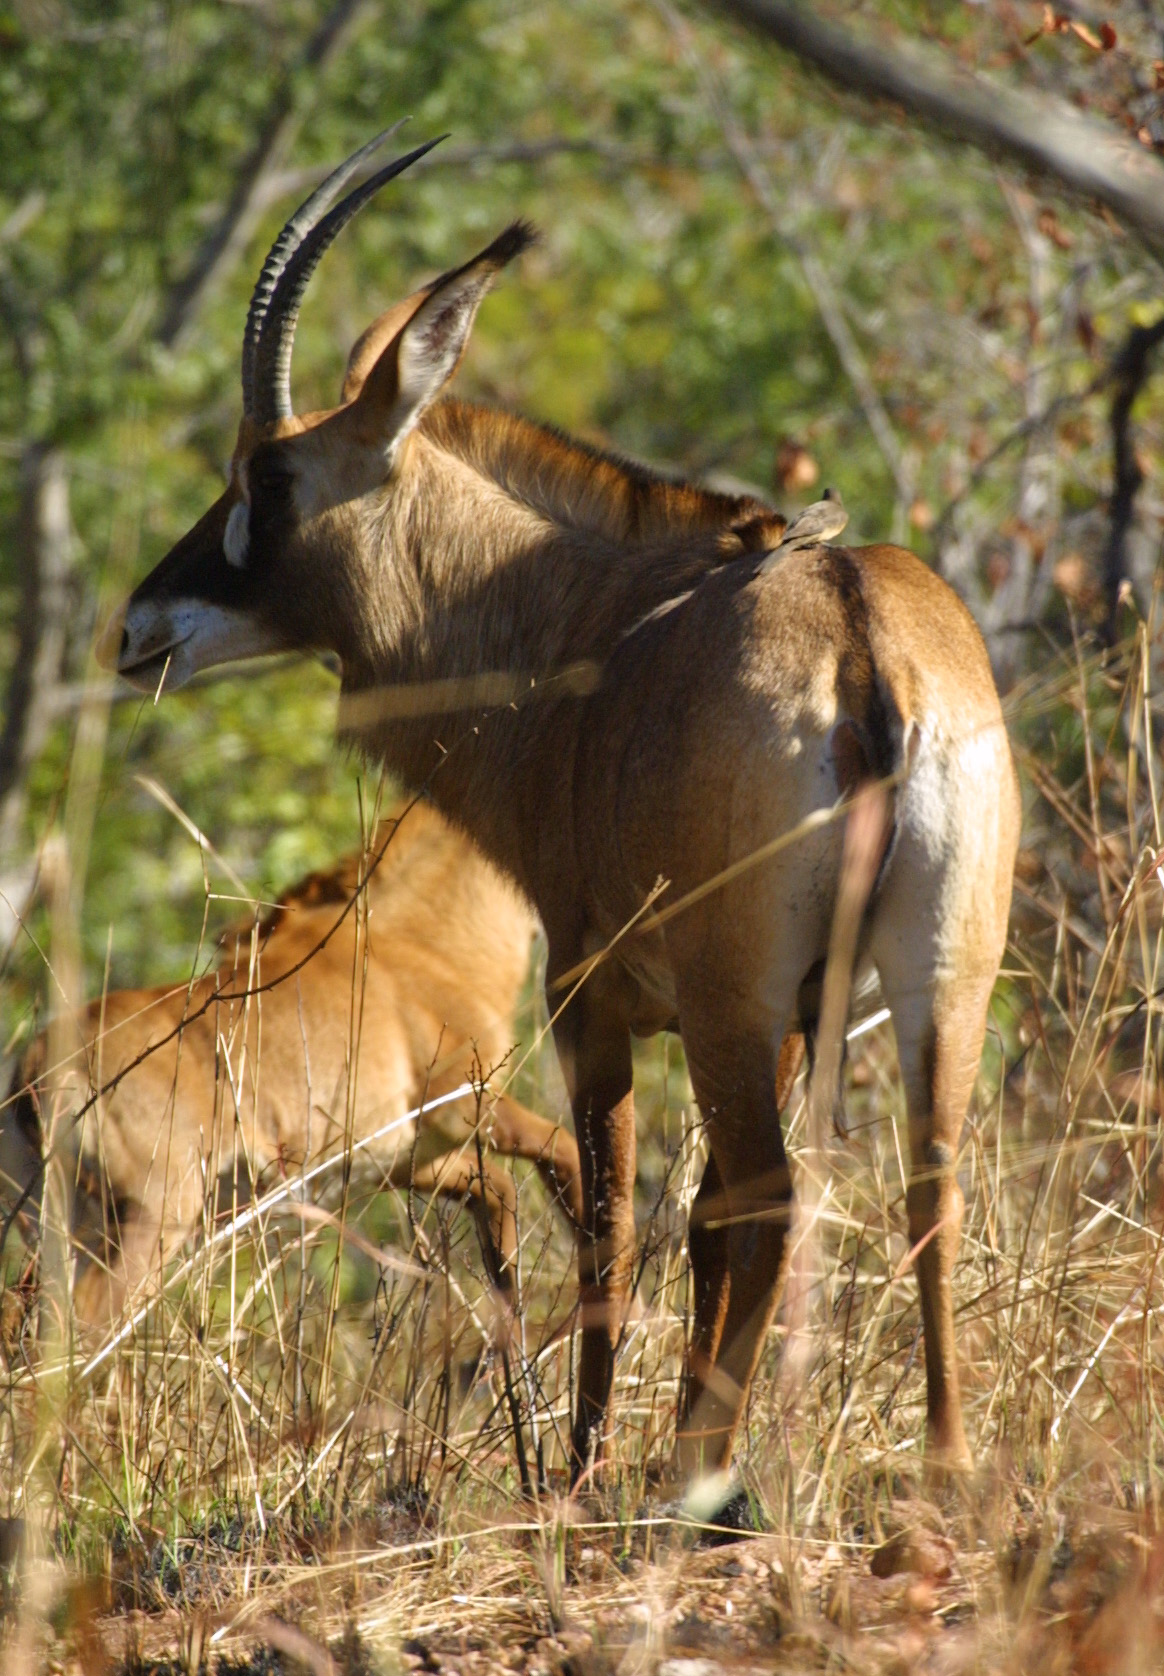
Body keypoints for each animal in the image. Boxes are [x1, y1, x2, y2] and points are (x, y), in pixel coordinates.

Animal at [0, 801, 582, 1334]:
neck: (421, 945)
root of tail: (32, 1072)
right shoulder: (462, 1105)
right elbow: (563, 1148)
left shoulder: (399, 1157)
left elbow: (500, 1196)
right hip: (152, 1214)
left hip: (56, 1230)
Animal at [107, 134, 1018, 1494]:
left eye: (266, 473)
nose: (136, 629)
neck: (577, 616)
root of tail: (865, 644)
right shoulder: (792, 1013)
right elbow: (693, 1226)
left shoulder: (590, 994)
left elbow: (612, 1228)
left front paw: (585, 1472)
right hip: (935, 977)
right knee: (924, 1181)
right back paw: (944, 1463)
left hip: (730, 999)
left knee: (769, 1198)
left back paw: (698, 1483)